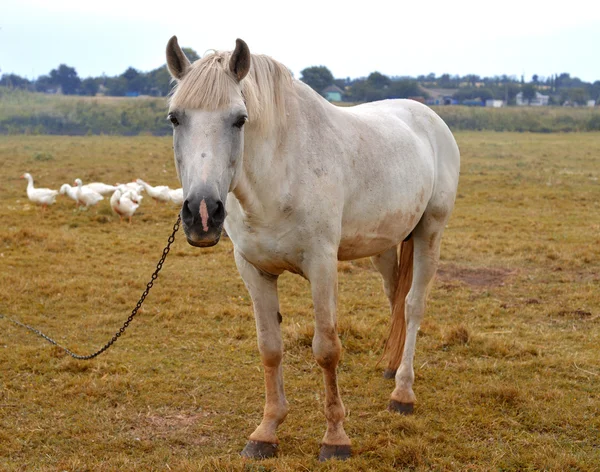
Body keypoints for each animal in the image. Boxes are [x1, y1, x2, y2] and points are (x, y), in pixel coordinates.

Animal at [164, 37, 460, 460]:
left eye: (239, 119)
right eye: (175, 118)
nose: (202, 213)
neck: (280, 176)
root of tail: (428, 116)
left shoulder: (322, 266)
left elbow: (326, 349)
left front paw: (335, 438)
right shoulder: (253, 270)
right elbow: (270, 348)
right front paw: (266, 432)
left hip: (429, 234)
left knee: (413, 305)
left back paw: (402, 392)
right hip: (385, 246)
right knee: (395, 299)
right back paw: (389, 367)